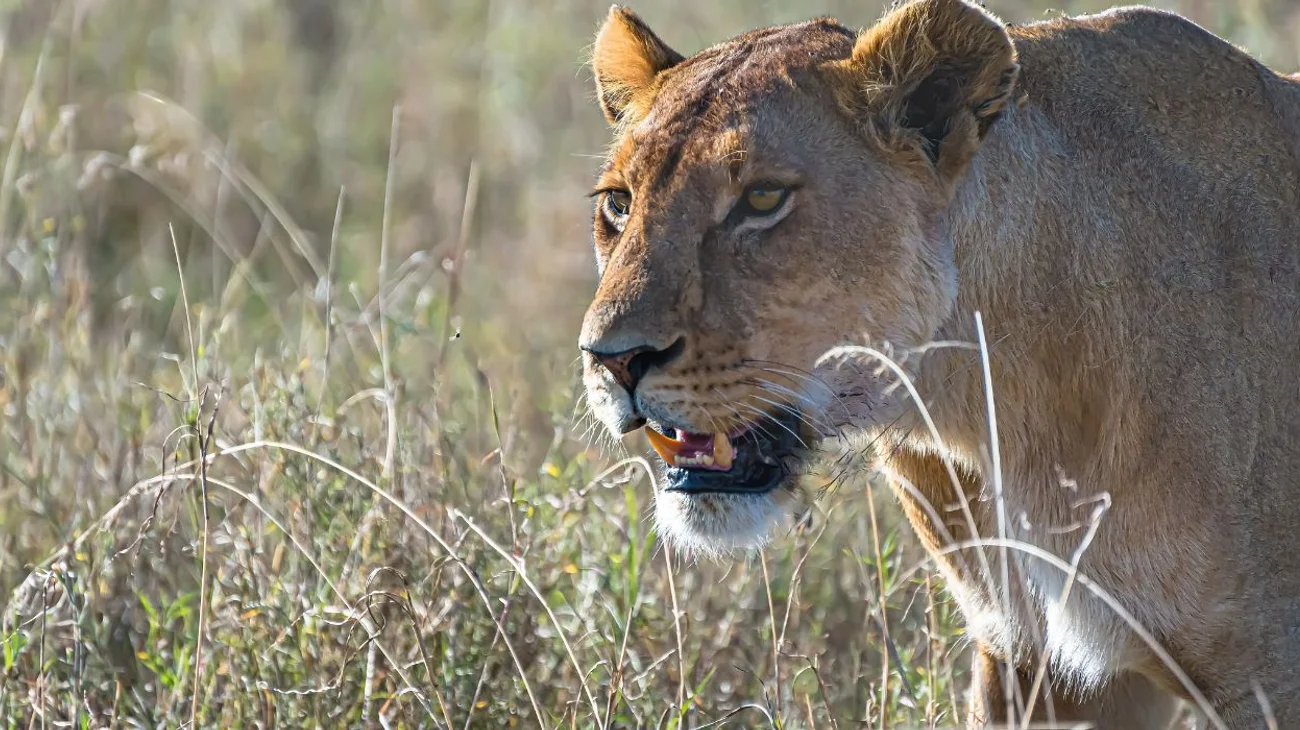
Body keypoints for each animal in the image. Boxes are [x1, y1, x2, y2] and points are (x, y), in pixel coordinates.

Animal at [576, 0, 1300, 727]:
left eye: (762, 199)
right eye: (618, 203)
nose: (613, 360)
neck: (989, 411)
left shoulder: (1264, 682)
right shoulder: (1031, 657)